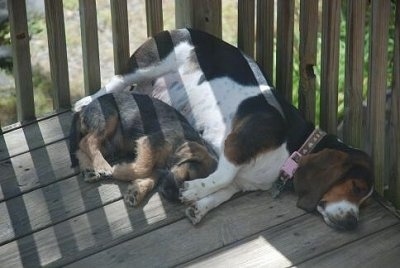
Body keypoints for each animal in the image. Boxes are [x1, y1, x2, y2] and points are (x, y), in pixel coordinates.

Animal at [70, 91, 217, 206]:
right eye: (187, 176)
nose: (171, 197)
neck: (182, 139)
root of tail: (84, 108)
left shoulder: (161, 167)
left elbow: (151, 177)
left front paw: (137, 191)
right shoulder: (148, 143)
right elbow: (143, 168)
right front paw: (119, 171)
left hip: (113, 144)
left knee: (80, 148)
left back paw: (89, 169)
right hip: (109, 118)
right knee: (87, 141)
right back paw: (102, 166)